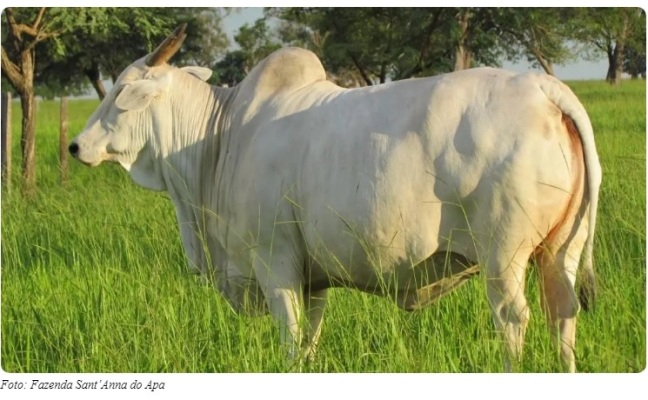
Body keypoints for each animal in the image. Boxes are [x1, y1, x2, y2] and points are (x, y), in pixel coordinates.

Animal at [69, 24, 601, 372]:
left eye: (118, 93)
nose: (76, 146)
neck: (218, 139)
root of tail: (544, 89)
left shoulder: (276, 263)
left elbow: (290, 341)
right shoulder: (314, 277)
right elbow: (310, 342)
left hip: (502, 257)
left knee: (514, 321)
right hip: (561, 252)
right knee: (563, 318)